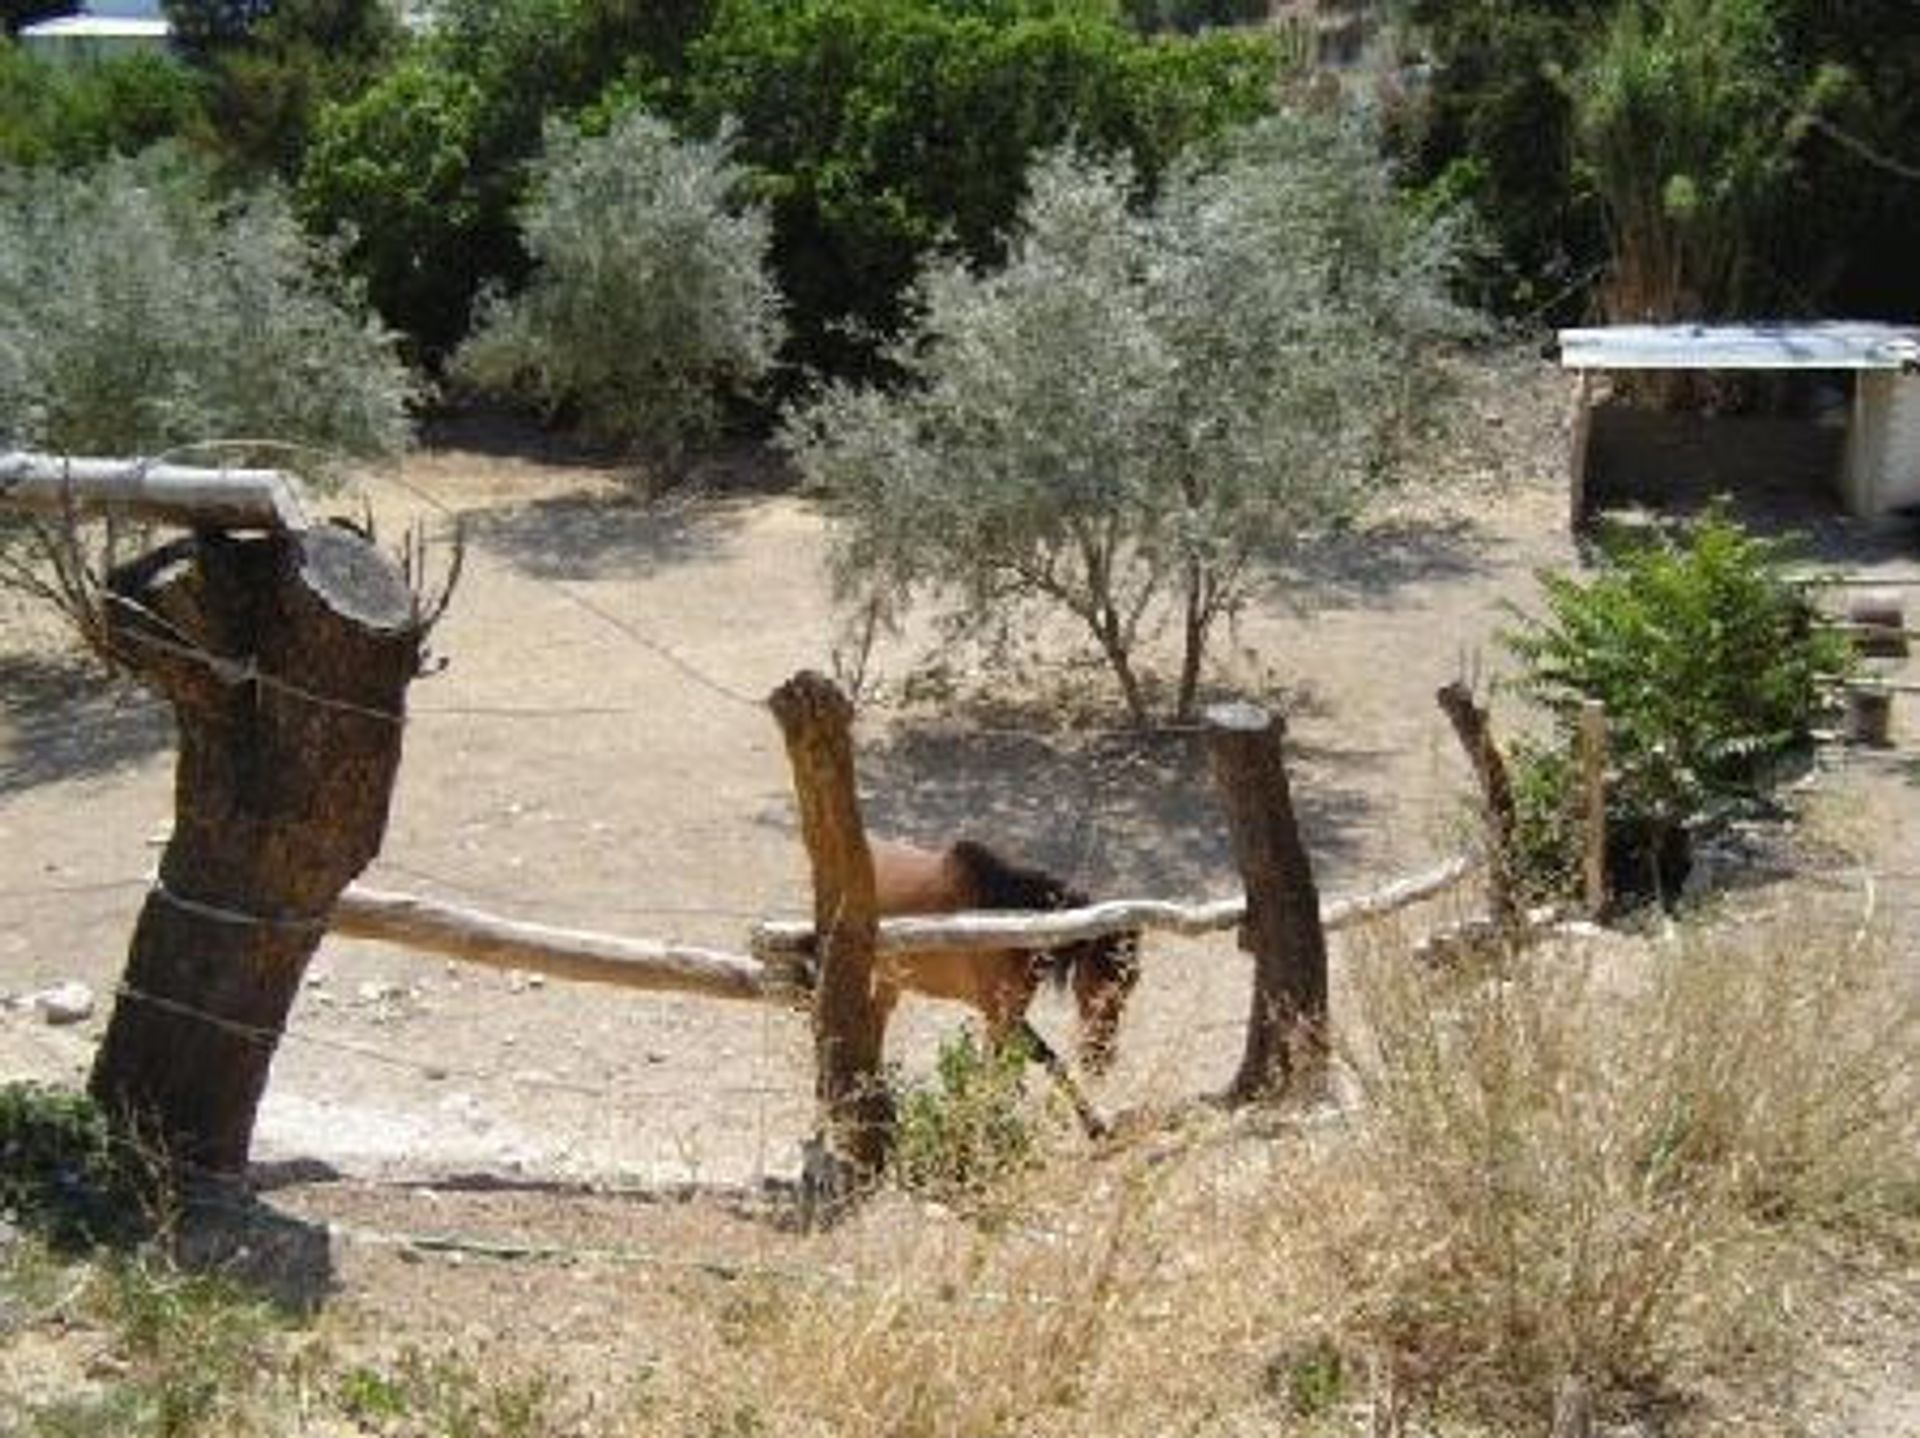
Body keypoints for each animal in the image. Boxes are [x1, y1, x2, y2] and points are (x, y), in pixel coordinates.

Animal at [871, 837, 1136, 1075]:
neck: (1011, 928)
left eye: (1130, 985)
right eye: (1102, 981)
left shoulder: (1012, 1013)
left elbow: (1041, 1063)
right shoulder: (997, 1014)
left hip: (889, 981)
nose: (1100, 1058)